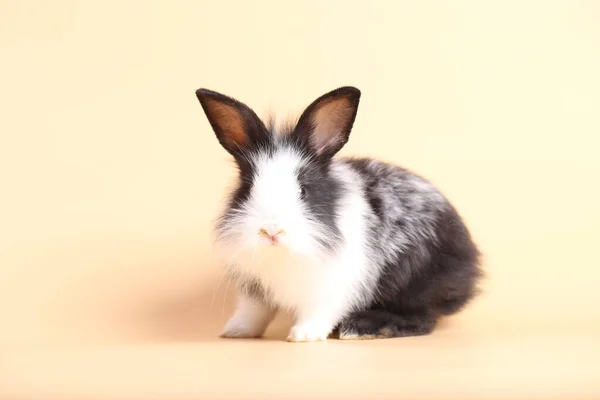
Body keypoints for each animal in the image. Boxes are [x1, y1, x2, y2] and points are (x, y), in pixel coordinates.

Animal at [195, 86, 480, 342]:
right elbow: (254, 311)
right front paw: (236, 331)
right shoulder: (255, 288)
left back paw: (361, 328)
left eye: (303, 190)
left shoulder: (334, 285)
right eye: (247, 189)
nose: (271, 230)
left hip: (416, 284)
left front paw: (304, 335)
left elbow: (320, 310)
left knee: (422, 318)